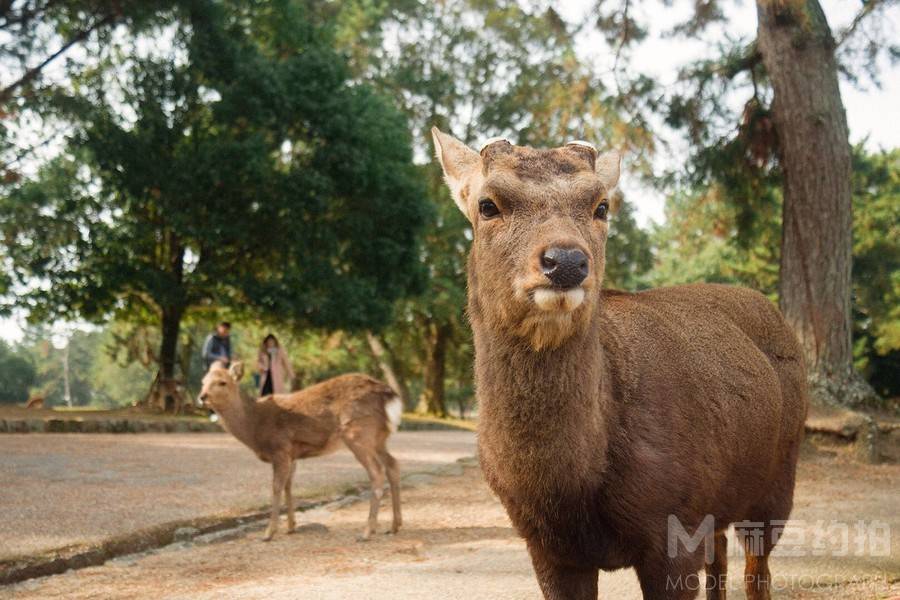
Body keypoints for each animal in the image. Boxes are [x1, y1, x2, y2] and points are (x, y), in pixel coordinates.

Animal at [202, 364, 406, 540]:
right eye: (203, 380)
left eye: (222, 382)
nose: (202, 396)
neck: (254, 427)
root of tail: (391, 397)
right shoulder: (292, 455)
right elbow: (288, 486)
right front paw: (291, 527)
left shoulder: (280, 448)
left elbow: (276, 487)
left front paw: (269, 533)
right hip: (379, 439)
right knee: (393, 465)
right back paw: (394, 526)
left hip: (358, 433)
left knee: (377, 472)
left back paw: (367, 532)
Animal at [430, 130, 808, 600]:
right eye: (487, 204)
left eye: (601, 205)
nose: (566, 261)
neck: (567, 489)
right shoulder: (545, 546)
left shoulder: (676, 523)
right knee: (719, 558)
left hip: (780, 479)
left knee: (757, 570)